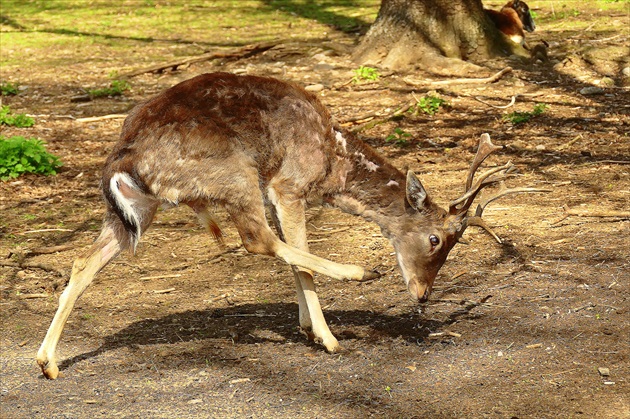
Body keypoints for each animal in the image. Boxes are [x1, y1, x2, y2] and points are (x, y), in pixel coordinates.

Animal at [37, 72, 544, 380]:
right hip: (233, 173)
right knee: (256, 240)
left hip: (137, 210)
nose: (422, 295)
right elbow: (297, 256)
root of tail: (123, 156)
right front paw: (324, 335)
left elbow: (294, 257)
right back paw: (359, 275)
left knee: (83, 261)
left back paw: (48, 362)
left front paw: (305, 325)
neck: (333, 163)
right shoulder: (288, 183)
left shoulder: (276, 193)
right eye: (436, 238)